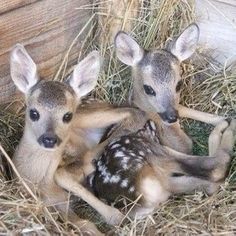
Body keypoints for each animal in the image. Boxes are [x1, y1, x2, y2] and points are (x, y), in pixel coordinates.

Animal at [87, 24, 235, 218]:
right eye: (148, 89)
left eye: (179, 84)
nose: (171, 116)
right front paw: (227, 123)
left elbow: (193, 111)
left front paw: (224, 118)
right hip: (149, 149)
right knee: (215, 167)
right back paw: (229, 130)